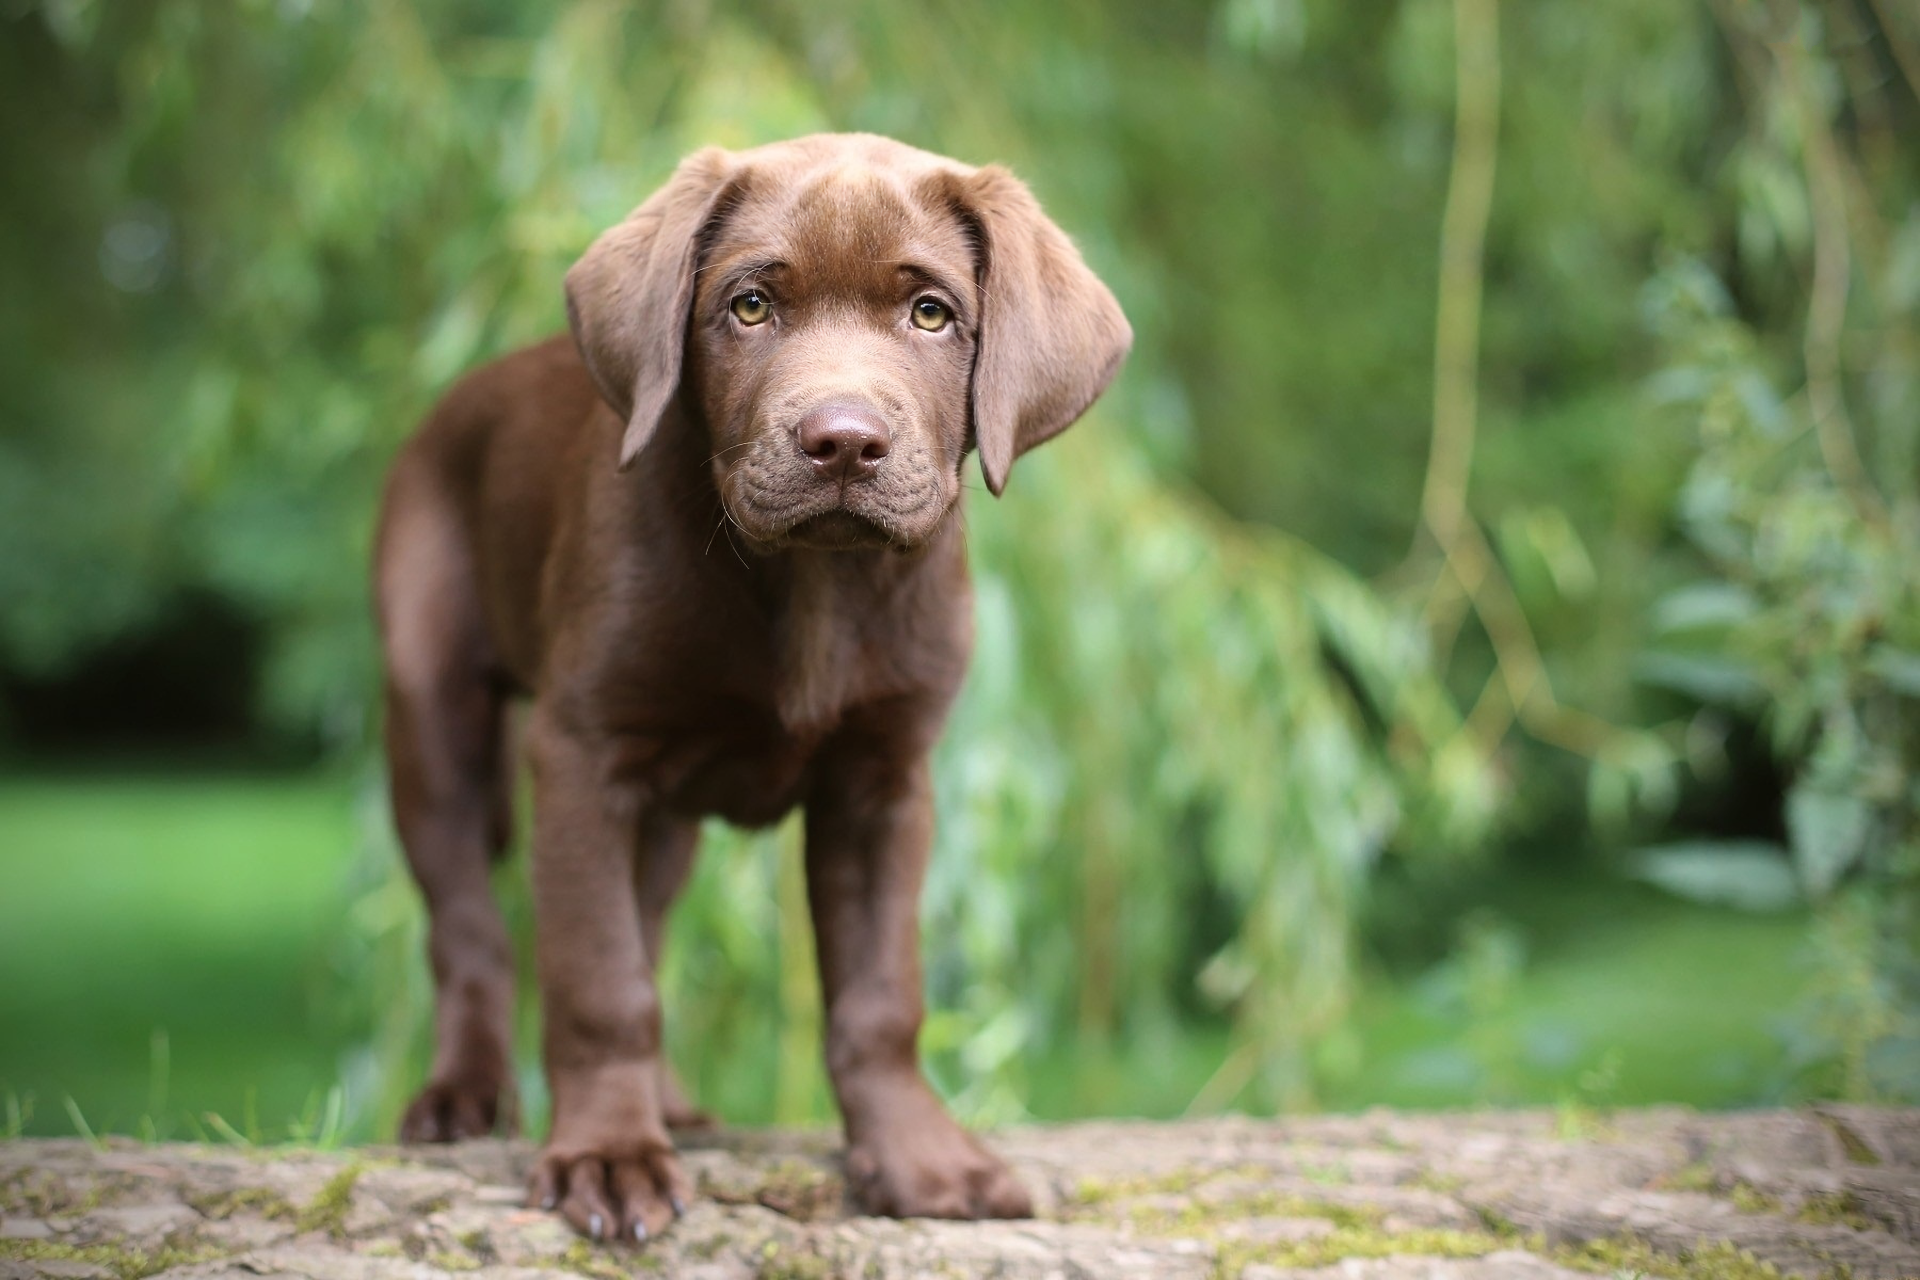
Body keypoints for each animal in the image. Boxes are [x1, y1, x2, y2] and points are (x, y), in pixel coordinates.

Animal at [368, 135, 1128, 1243]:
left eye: (930, 313)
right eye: (752, 305)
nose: (843, 440)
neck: (814, 582)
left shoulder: (882, 781)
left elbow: (877, 996)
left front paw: (920, 1160)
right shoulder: (583, 752)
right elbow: (597, 978)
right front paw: (606, 1156)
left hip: (662, 816)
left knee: (643, 915)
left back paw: (671, 1104)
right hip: (434, 710)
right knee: (469, 924)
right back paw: (466, 1096)